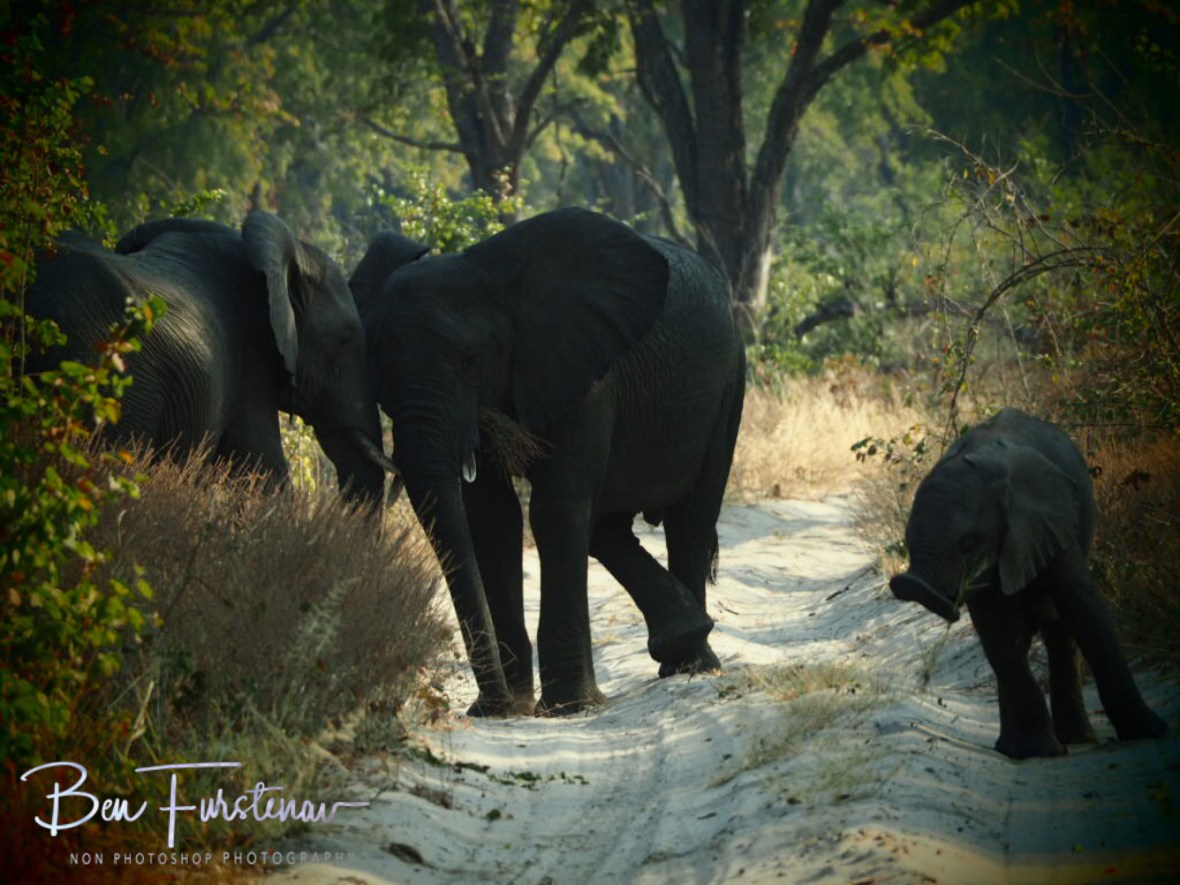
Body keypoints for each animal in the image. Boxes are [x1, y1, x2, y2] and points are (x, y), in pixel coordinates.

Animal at [352, 208, 746, 716]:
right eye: (377, 366)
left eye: (470, 361)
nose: (490, 704)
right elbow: (492, 518)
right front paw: (510, 707)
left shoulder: (586, 373)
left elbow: (554, 508)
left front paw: (567, 706)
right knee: (605, 529)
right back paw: (682, 639)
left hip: (729, 386)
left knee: (690, 523)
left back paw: (692, 664)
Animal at [890, 407, 1167, 758]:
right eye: (908, 539)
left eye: (968, 544)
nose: (905, 584)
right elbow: (996, 626)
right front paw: (1035, 751)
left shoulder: (1046, 521)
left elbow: (1084, 608)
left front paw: (1151, 732)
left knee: (1057, 624)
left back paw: (1077, 740)